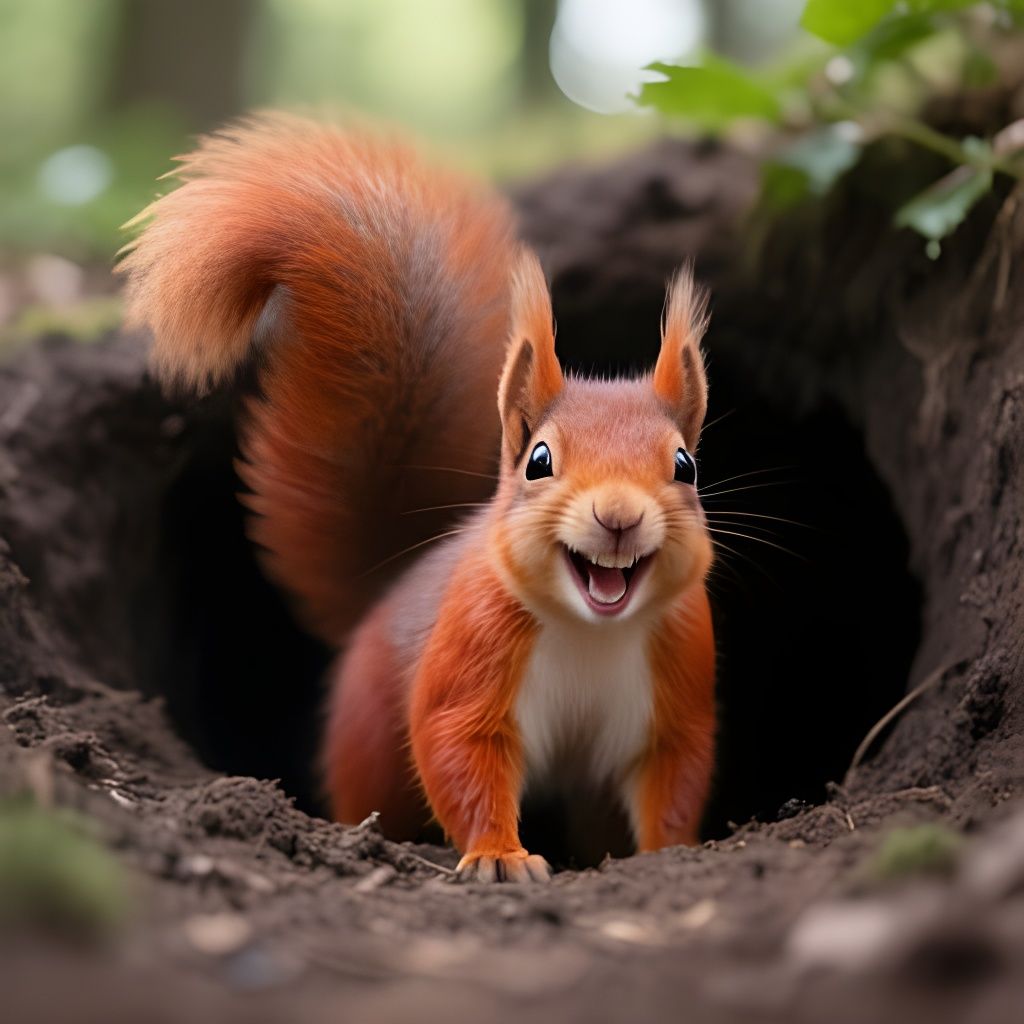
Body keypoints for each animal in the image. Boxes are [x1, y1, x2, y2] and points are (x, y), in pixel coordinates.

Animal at [119, 113, 716, 883]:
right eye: (539, 461)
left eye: (686, 465)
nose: (618, 515)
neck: (591, 629)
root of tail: (386, 593)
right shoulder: (473, 643)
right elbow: (457, 744)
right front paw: (499, 856)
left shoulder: (679, 676)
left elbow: (676, 772)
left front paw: (672, 854)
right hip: (368, 739)